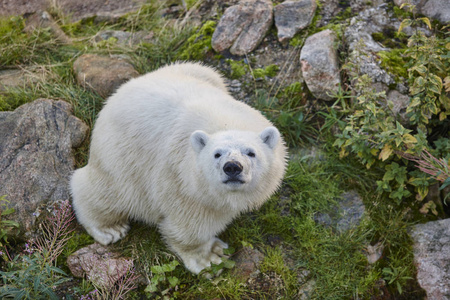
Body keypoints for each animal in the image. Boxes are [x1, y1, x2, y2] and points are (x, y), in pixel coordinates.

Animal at [70, 61, 288, 274]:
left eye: (251, 152)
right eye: (216, 154)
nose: (232, 167)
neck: (224, 121)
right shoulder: (178, 175)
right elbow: (189, 221)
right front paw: (210, 257)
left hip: (202, 71)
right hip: (121, 156)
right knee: (107, 191)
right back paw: (109, 228)